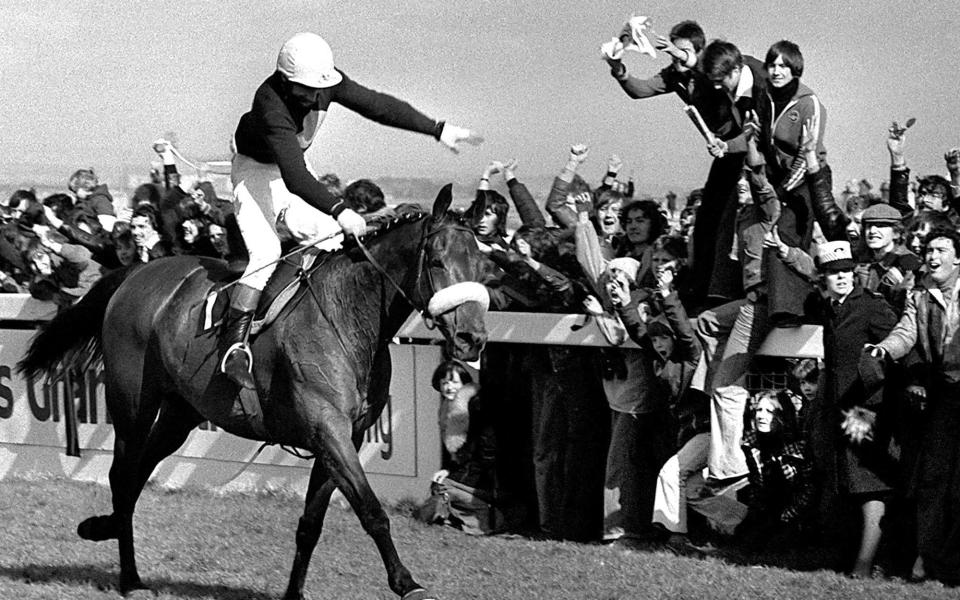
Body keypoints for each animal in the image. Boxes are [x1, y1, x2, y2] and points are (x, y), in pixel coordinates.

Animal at [16, 185, 488, 596]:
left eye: (482, 266)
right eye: (438, 261)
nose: (473, 338)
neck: (348, 315)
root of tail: (136, 272)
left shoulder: (341, 438)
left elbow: (310, 524)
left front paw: (294, 594)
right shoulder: (329, 431)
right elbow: (372, 511)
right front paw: (407, 583)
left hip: (180, 414)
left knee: (137, 474)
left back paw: (105, 529)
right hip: (132, 402)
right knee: (121, 474)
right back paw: (128, 576)